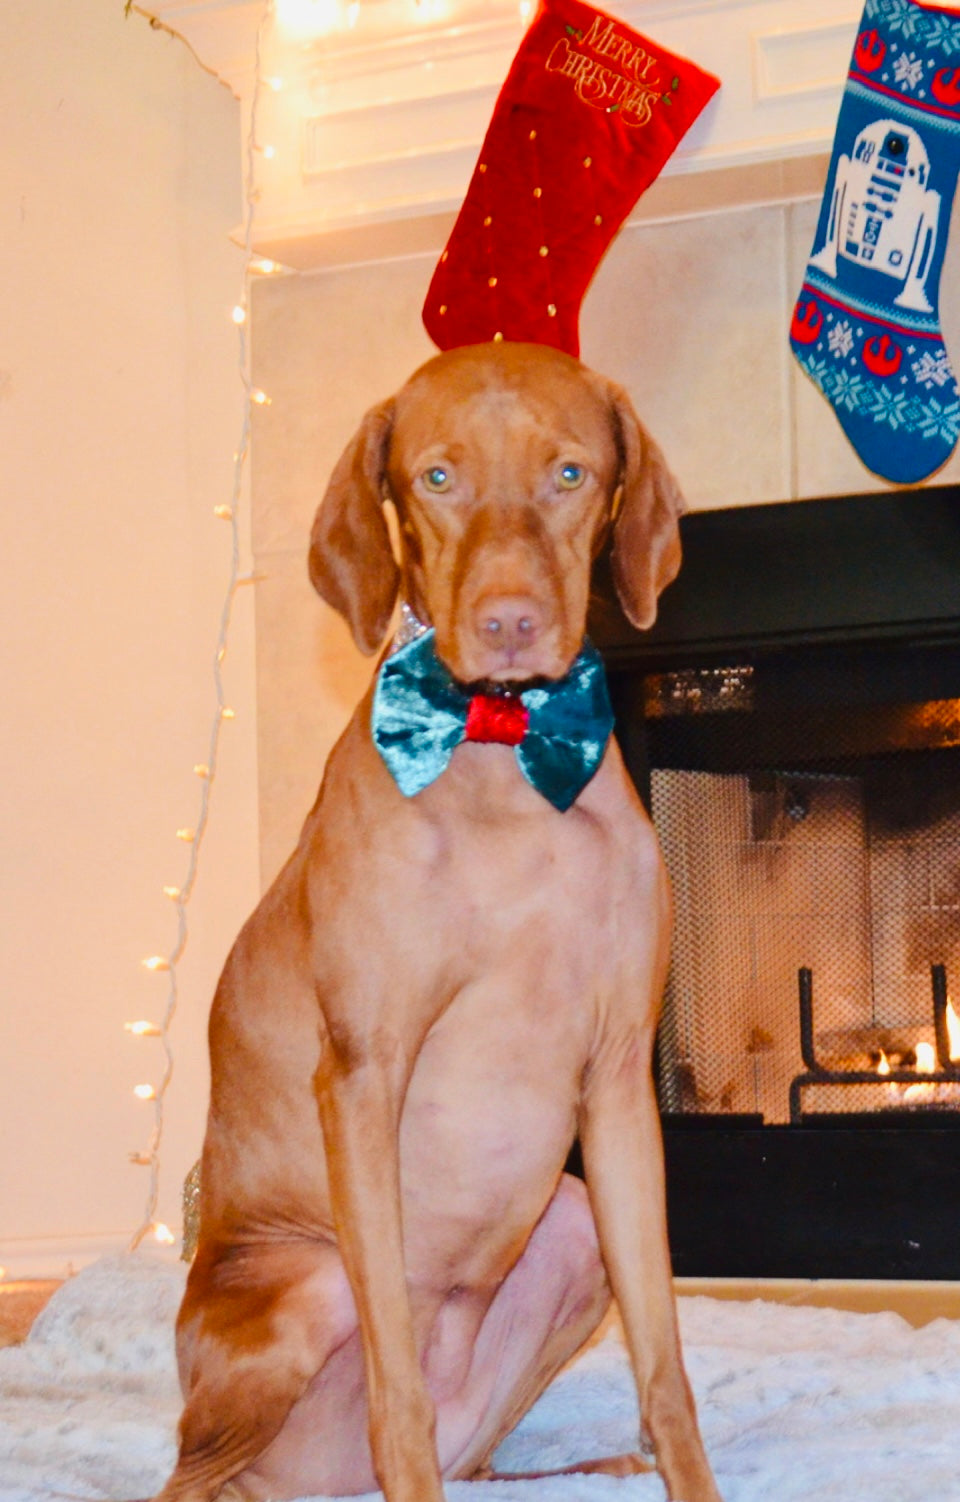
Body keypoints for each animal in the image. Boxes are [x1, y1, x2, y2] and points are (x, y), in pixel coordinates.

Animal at [156, 340, 721, 1502]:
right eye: (438, 478)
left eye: (569, 473)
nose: (509, 621)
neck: (501, 749)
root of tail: (310, 1490)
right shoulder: (364, 1072)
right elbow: (397, 1398)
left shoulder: (617, 1077)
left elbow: (665, 1364)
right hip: (306, 1292)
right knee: (206, 1469)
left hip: (567, 1223)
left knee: (475, 1453)